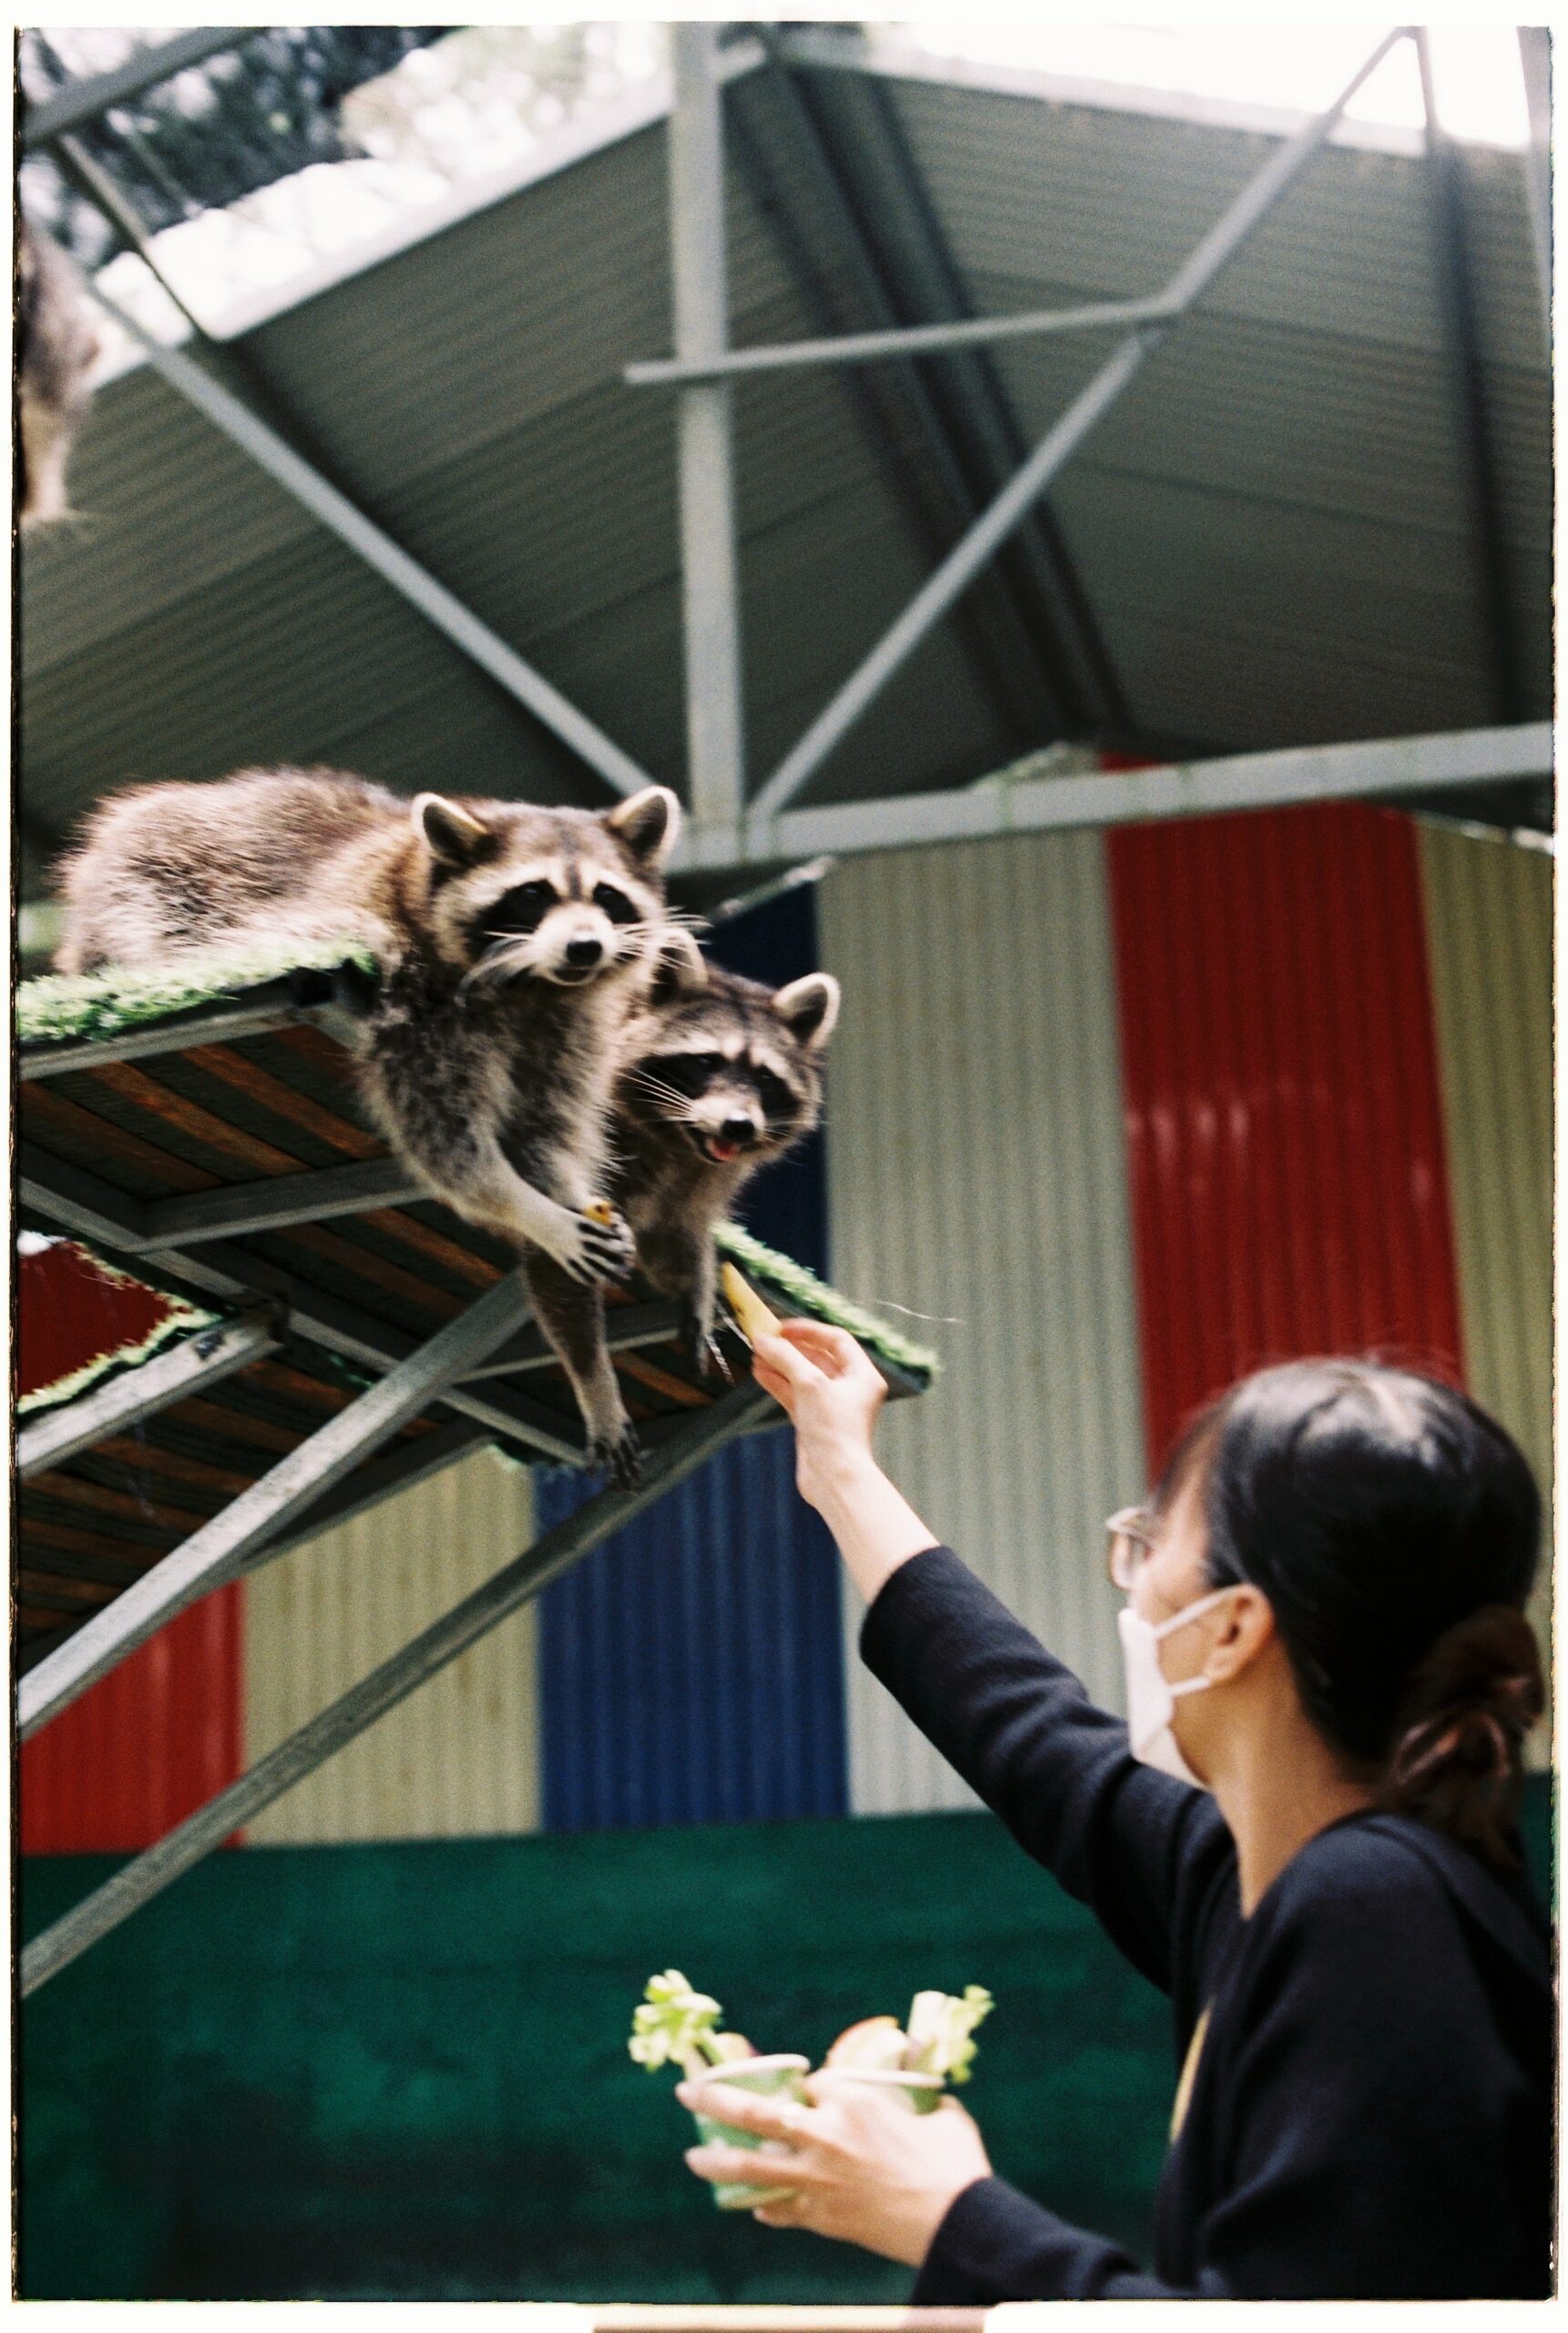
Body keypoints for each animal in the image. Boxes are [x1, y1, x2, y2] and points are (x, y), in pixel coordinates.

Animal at [56, 774, 685, 1484]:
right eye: (533, 895)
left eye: (606, 897)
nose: (585, 948)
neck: (533, 984)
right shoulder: (415, 997)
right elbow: (447, 1145)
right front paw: (527, 1209)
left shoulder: (566, 1031)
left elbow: (542, 1147)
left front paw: (590, 1370)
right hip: (147, 889)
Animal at [522, 919, 839, 1381]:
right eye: (706, 1062)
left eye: (765, 1078)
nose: (739, 1127)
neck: (675, 1135)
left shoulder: (704, 1173)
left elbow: (675, 1231)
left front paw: (698, 1275)